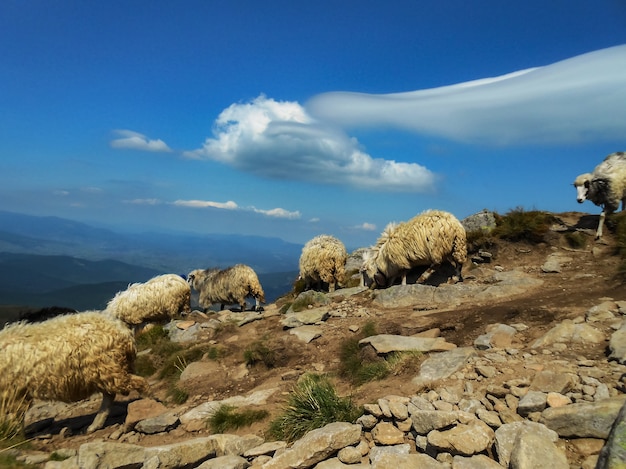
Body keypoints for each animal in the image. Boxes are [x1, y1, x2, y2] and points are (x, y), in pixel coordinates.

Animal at [0, 308, 147, 434]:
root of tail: (123, 330)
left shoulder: (14, 394)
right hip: (104, 371)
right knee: (109, 396)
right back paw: (95, 425)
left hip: (108, 367)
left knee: (139, 383)